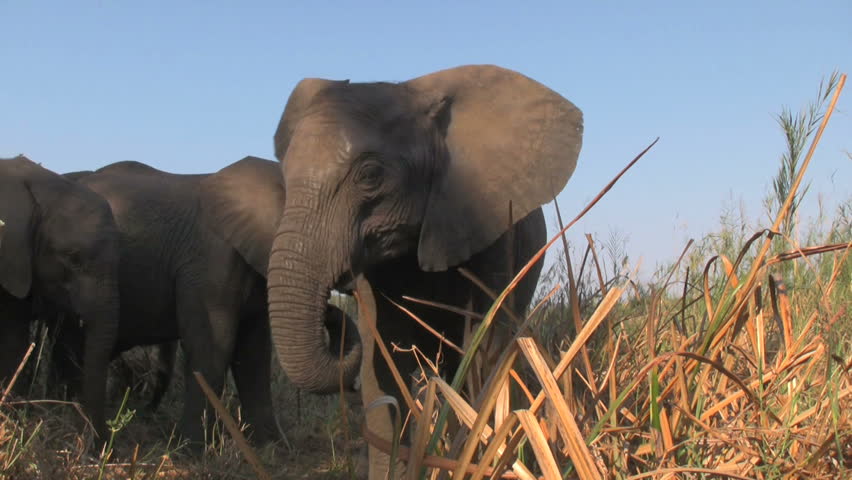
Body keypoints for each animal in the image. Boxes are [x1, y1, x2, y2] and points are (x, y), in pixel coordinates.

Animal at [52, 157, 360, 449]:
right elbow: (214, 347)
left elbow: (253, 355)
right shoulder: (210, 264)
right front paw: (191, 449)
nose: (334, 303)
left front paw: (273, 447)